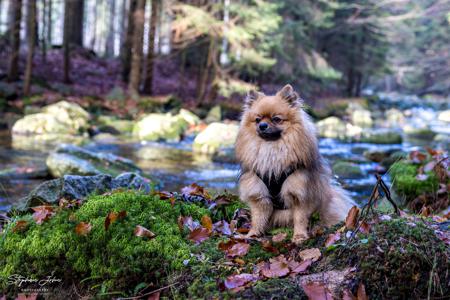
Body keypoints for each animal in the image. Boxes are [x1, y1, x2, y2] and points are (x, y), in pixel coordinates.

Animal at [234, 84, 354, 244]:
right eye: (257, 119)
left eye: (276, 119)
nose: (262, 125)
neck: (271, 149)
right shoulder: (259, 194)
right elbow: (258, 218)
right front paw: (253, 234)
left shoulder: (299, 193)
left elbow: (300, 218)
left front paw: (299, 237)